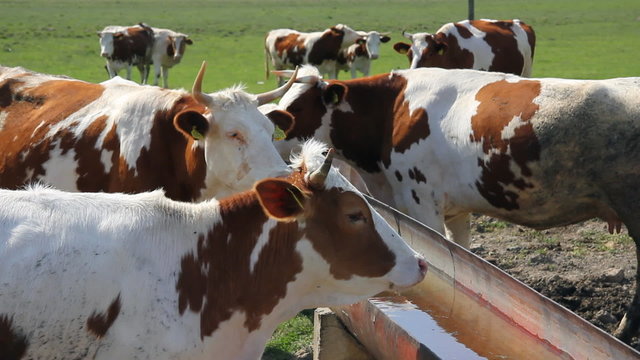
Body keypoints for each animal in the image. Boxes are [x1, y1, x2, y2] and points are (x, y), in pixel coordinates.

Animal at [266, 64, 640, 344]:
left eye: (292, 112)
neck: (391, 111)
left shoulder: (421, 203)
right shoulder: (455, 211)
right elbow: (461, 257)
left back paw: (622, 330)